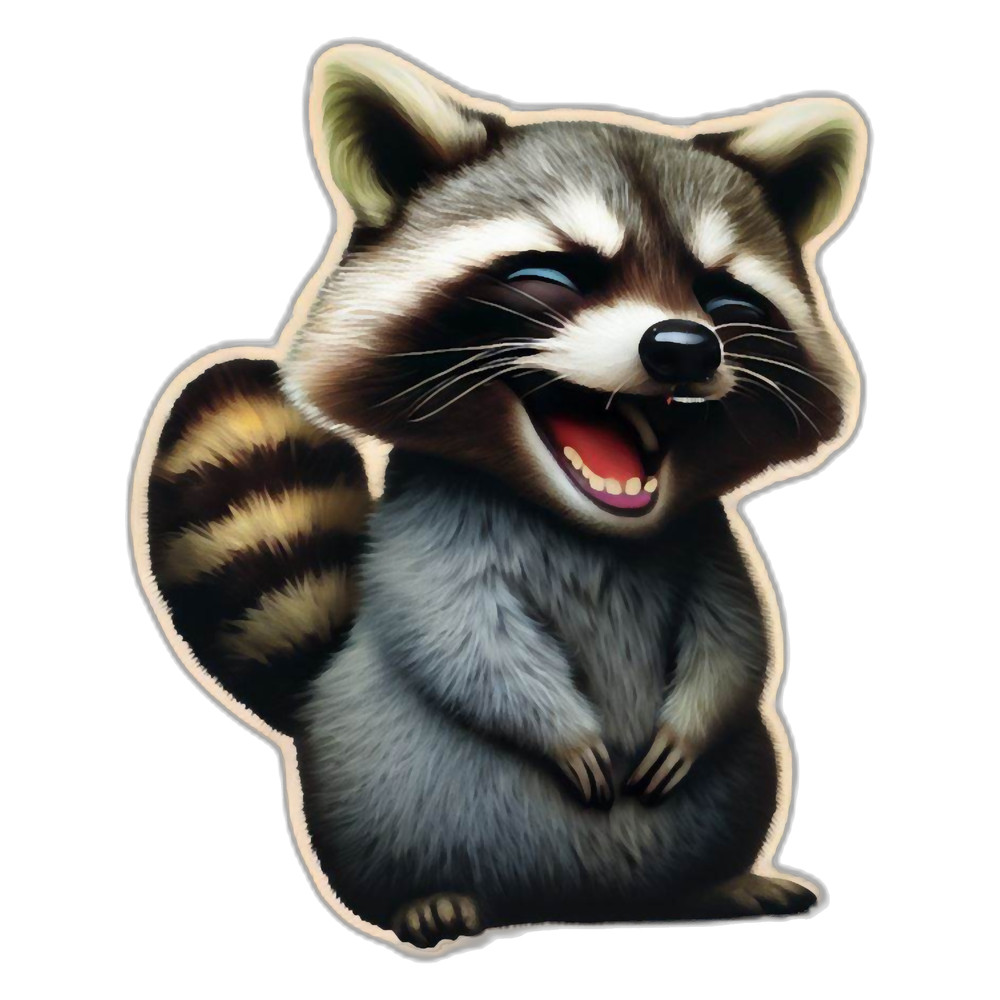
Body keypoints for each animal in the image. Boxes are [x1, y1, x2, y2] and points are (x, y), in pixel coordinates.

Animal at [138, 45, 866, 949]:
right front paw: (559, 730)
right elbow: (456, 630)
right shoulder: (434, 522)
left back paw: (719, 882)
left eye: (722, 295)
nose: (684, 348)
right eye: (554, 274)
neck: (589, 522)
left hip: (742, 776)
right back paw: (428, 897)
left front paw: (690, 719)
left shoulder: (705, 536)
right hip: (373, 772)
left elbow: (735, 638)